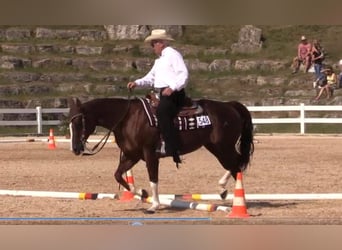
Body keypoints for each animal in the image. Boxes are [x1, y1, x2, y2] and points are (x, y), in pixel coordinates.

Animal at [68, 95, 254, 213]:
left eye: (78, 122)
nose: (75, 149)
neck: (128, 118)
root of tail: (230, 105)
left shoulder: (150, 154)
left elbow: (153, 179)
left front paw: (154, 205)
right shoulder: (132, 155)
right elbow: (118, 175)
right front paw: (142, 192)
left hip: (224, 147)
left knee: (237, 165)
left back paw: (231, 195)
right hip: (215, 147)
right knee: (236, 165)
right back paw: (223, 190)